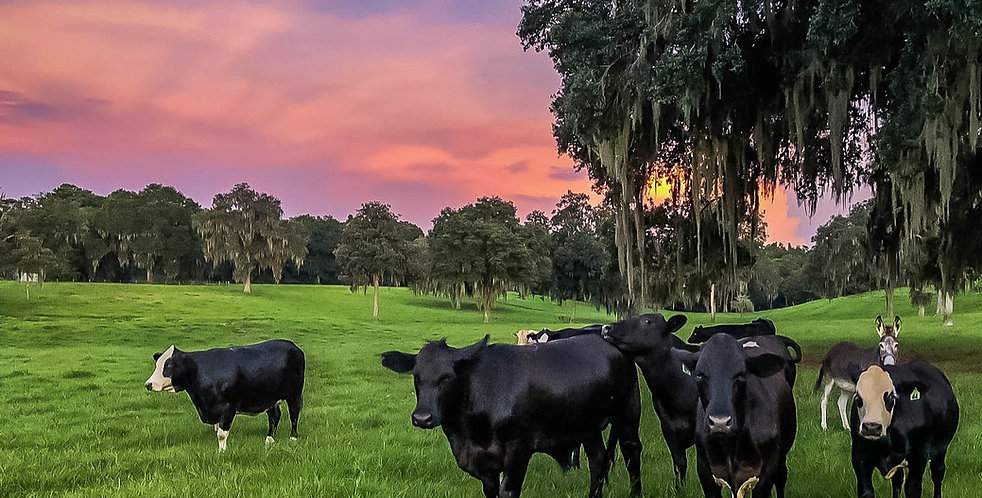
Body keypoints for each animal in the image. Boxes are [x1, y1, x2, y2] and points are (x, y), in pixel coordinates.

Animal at [144, 338, 306, 452]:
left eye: (169, 365)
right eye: (157, 364)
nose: (148, 384)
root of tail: (293, 346)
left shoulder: (228, 407)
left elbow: (221, 433)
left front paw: (222, 452)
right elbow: (217, 429)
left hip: (295, 394)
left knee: (294, 414)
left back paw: (293, 438)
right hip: (270, 397)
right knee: (274, 416)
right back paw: (269, 439)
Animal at [382, 332, 644, 498]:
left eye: (447, 378)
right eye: (416, 376)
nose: (422, 418)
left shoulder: (518, 451)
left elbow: (508, 491)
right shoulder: (484, 466)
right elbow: (491, 491)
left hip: (628, 414)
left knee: (631, 454)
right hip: (586, 426)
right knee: (598, 461)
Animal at [676, 332, 800, 498]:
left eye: (741, 374)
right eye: (699, 375)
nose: (720, 422)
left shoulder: (766, 473)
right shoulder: (704, 470)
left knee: (782, 476)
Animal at [852, 362, 960, 498]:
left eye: (891, 396)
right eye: (857, 397)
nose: (872, 427)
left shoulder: (918, 458)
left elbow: (912, 490)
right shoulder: (859, 458)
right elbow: (866, 491)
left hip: (941, 449)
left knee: (938, 474)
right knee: (897, 482)